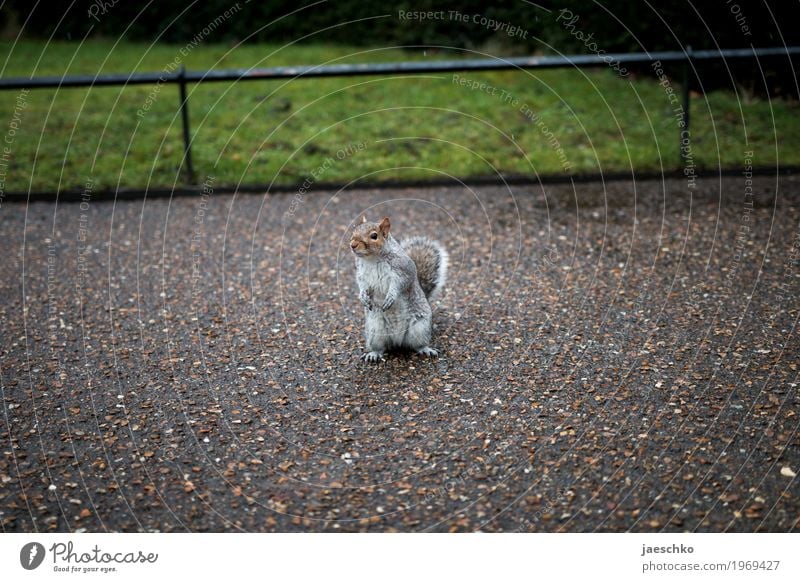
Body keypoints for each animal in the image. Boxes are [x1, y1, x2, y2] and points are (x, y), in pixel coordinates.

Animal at [350, 218, 450, 364]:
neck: (373, 259)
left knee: (418, 345)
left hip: (420, 326)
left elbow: (399, 285)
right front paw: (363, 297)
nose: (353, 245)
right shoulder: (361, 274)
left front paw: (391, 297)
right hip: (375, 330)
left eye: (374, 236)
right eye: (354, 231)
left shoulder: (403, 271)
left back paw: (426, 349)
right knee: (380, 347)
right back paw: (373, 354)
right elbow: (362, 285)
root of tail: (397, 341)